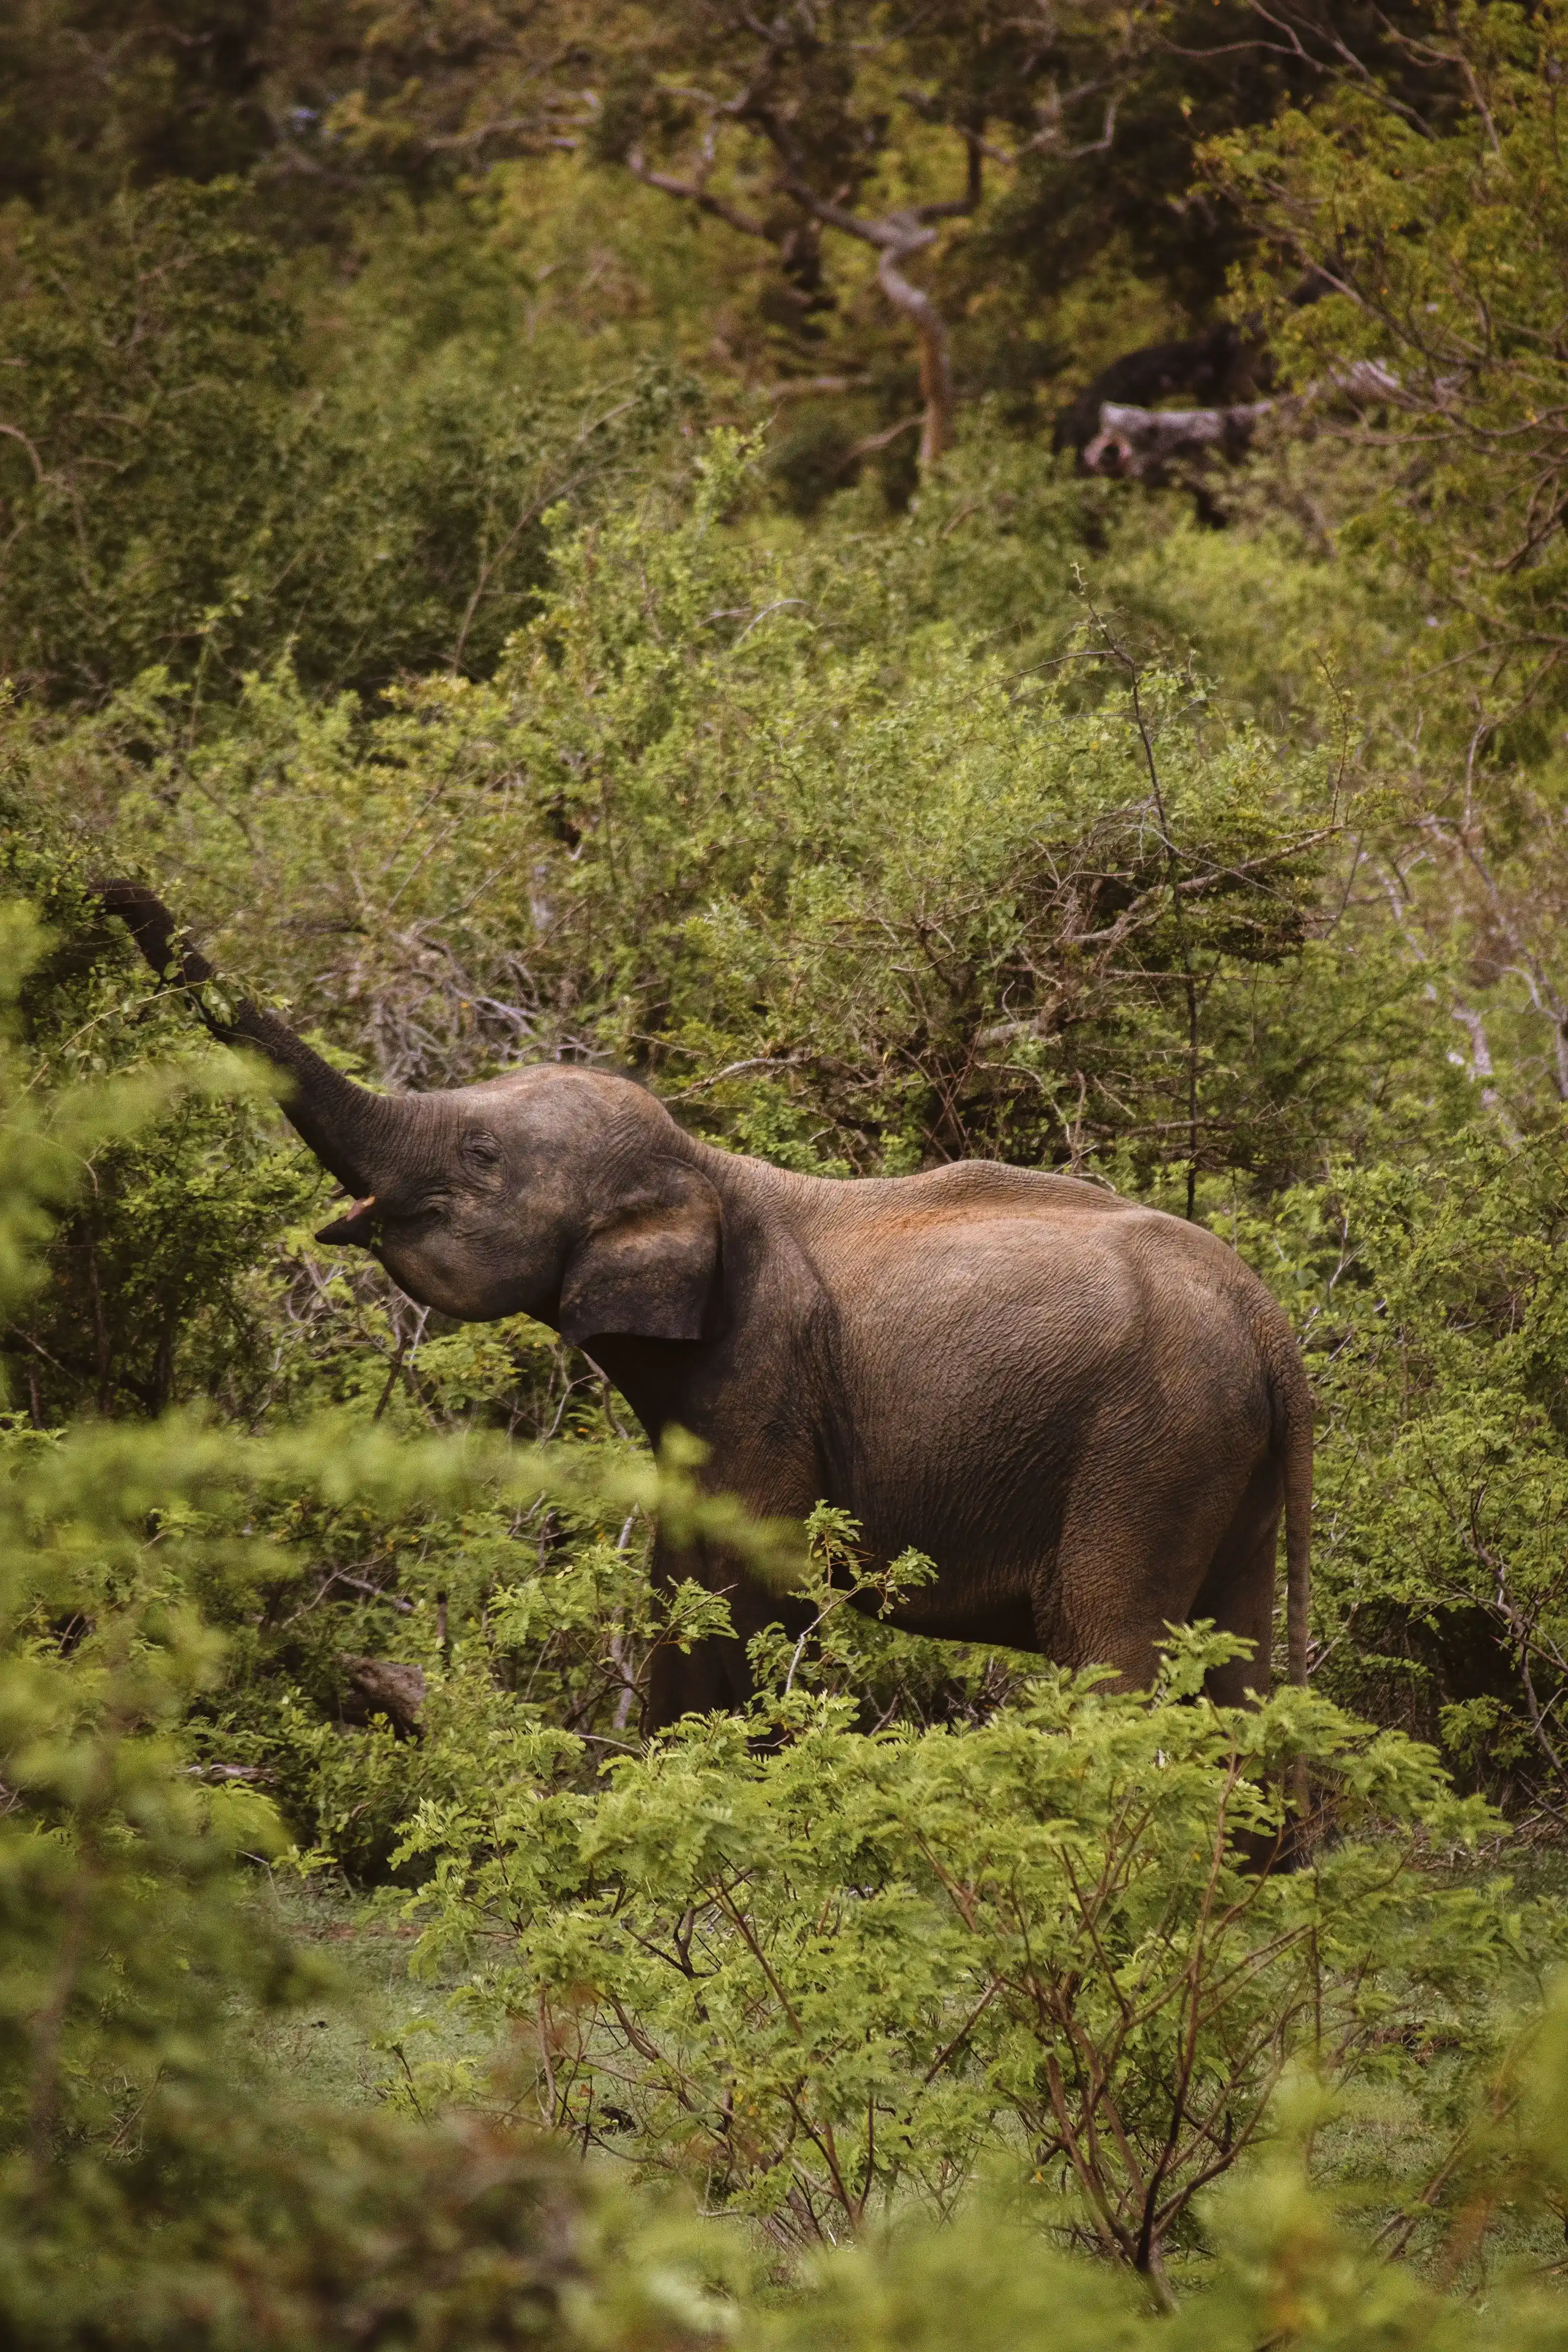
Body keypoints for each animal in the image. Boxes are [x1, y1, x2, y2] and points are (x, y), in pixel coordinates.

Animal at [99, 880, 1311, 1730]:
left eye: (481, 1153)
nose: (106, 887)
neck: (708, 1164)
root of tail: (1269, 1325)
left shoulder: (762, 1371)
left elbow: (730, 1579)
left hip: (1146, 1446)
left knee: (1114, 1643)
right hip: (1219, 1453)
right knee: (1237, 1664)